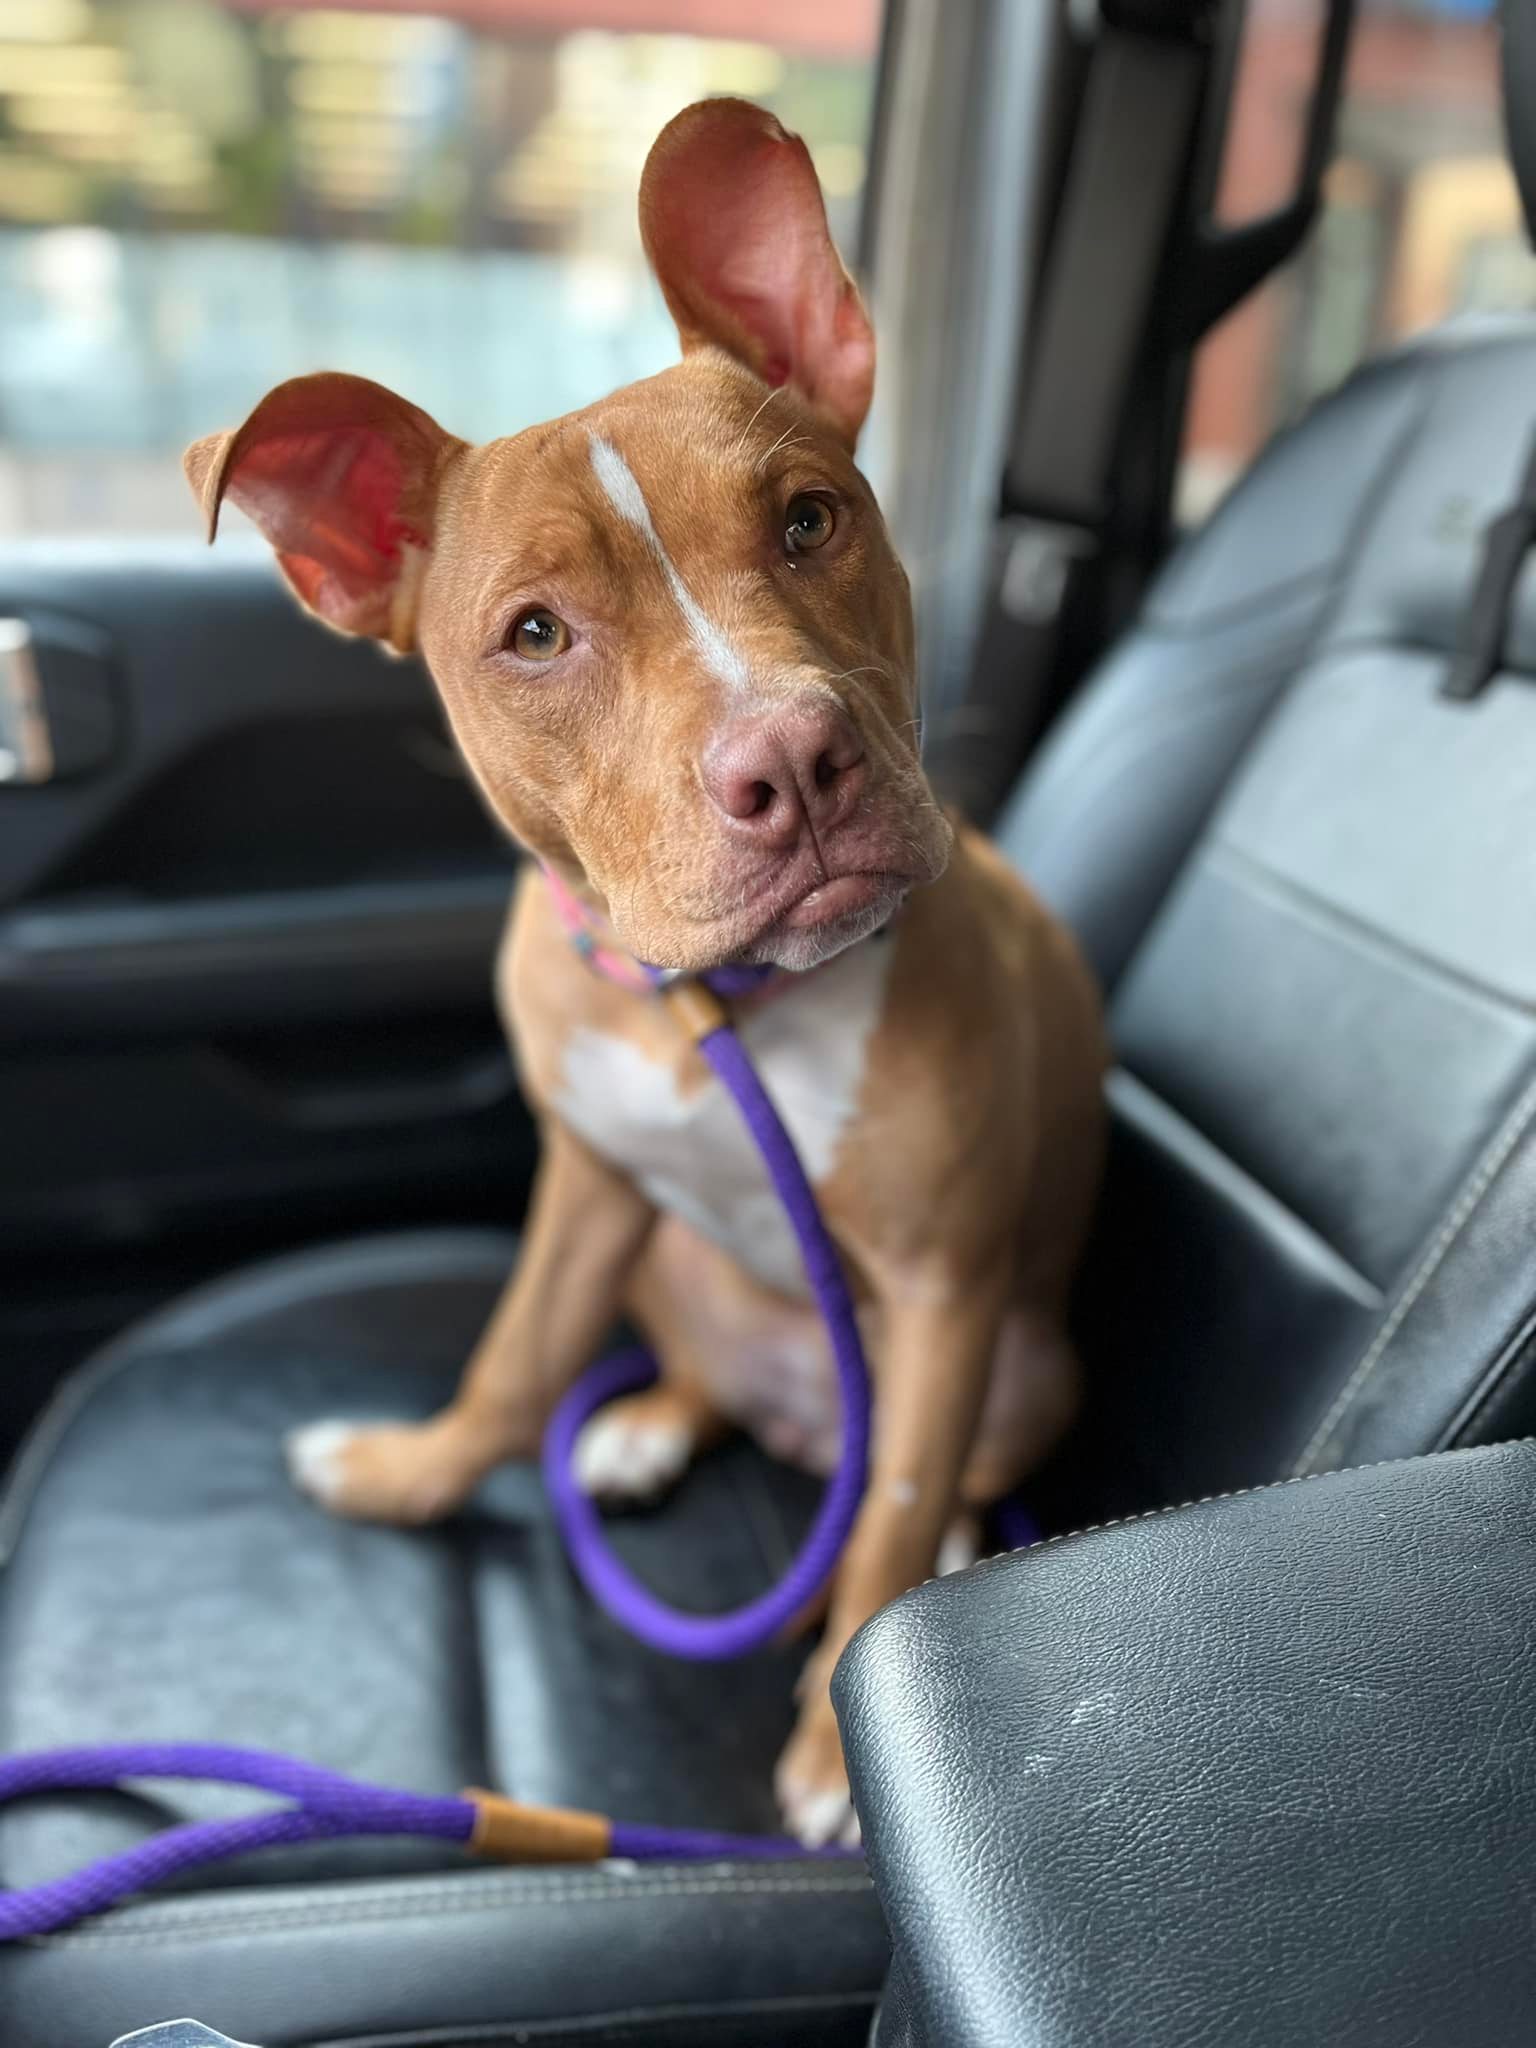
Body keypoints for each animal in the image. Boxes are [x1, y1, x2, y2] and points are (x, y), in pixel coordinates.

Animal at [186, 99, 1105, 1859]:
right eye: (535, 634)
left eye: (809, 518)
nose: (792, 765)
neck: (720, 1009)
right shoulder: (590, 1177)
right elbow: (509, 1359)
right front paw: (410, 1474)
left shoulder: (945, 1288)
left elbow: (888, 1528)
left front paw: (838, 1749)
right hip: (671, 1263)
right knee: (690, 1376)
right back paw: (645, 1426)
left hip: (1030, 1359)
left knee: (928, 1486)